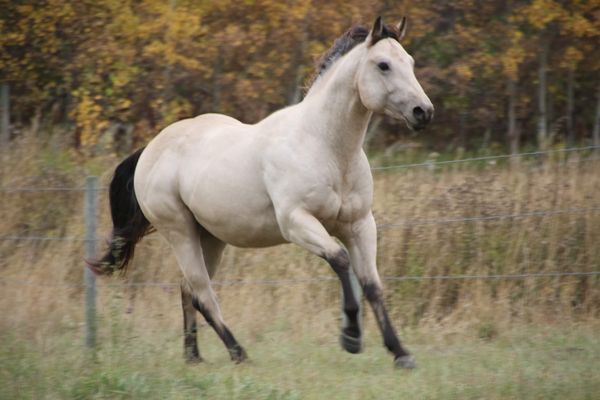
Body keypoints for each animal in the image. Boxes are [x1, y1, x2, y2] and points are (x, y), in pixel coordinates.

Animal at [90, 16, 433, 369]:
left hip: (210, 237)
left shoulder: (359, 225)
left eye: (410, 62)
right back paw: (238, 352)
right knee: (202, 292)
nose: (423, 112)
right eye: (383, 65)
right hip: (179, 232)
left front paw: (401, 353)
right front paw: (350, 336)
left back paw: (194, 356)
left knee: (189, 290)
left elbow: (372, 285)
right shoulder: (296, 222)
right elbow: (339, 260)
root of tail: (150, 150)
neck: (325, 147)